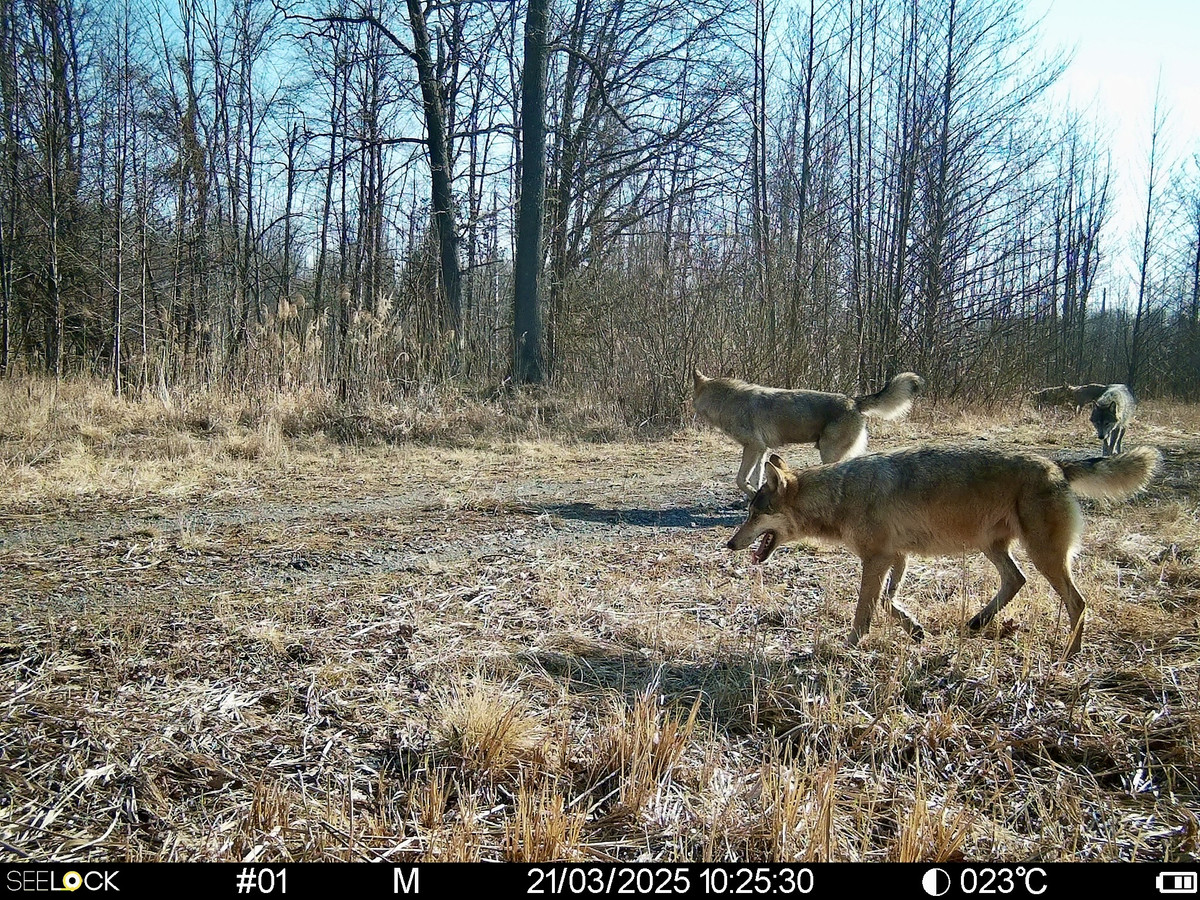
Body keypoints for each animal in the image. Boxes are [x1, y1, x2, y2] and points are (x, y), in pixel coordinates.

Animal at [691, 372, 921, 501]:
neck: (726, 401)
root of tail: (853, 401)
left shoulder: (753, 446)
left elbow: (740, 479)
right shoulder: (762, 449)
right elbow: (756, 478)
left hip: (828, 455)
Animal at [724, 448, 1156, 657]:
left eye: (754, 513)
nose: (729, 543)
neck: (841, 493)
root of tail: (1057, 464)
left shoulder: (877, 559)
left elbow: (865, 609)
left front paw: (848, 646)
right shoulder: (896, 557)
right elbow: (889, 601)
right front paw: (915, 630)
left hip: (1043, 555)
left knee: (1077, 602)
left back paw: (1070, 653)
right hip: (993, 548)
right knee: (1017, 580)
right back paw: (978, 622)